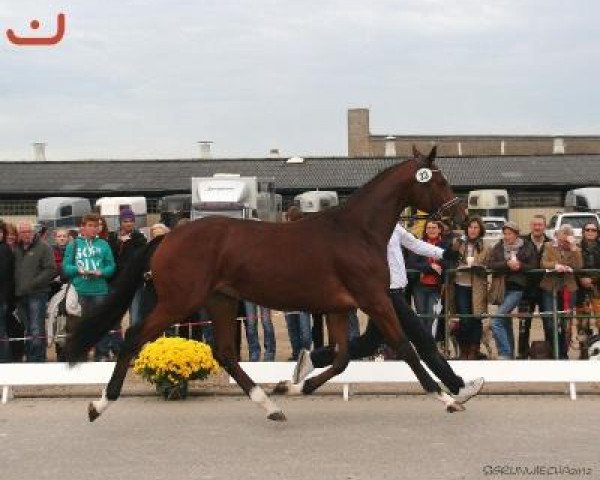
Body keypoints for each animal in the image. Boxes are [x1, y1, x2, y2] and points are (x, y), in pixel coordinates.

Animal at [68, 145, 466, 420]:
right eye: (440, 179)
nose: (460, 215)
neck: (355, 232)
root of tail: (167, 237)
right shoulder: (374, 299)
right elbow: (405, 347)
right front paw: (446, 398)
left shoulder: (340, 306)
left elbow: (340, 358)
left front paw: (296, 385)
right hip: (179, 301)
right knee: (135, 337)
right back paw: (99, 405)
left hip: (221, 300)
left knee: (225, 353)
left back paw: (270, 404)